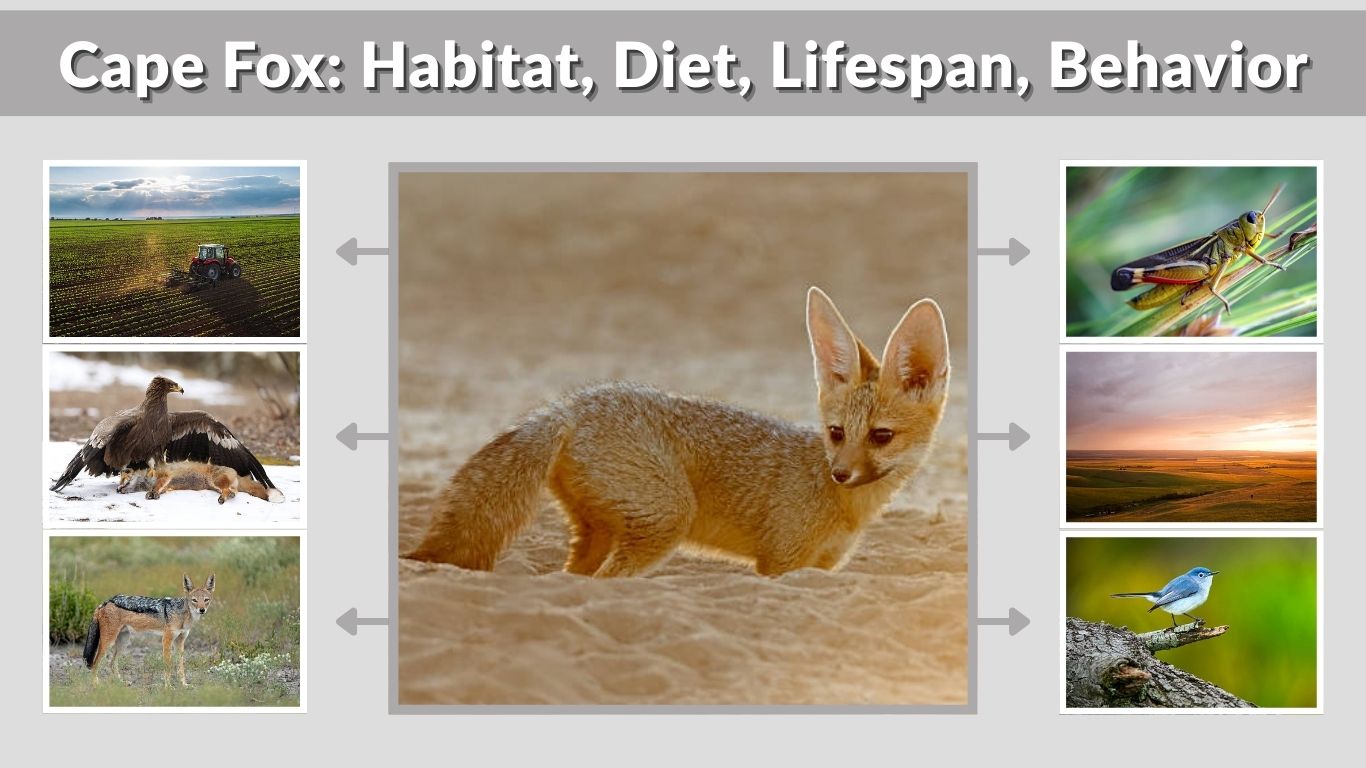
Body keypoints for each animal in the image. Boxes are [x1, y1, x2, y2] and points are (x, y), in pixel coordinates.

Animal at [82, 574, 216, 687]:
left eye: (206, 600)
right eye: (194, 600)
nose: (202, 610)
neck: (183, 615)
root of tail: (105, 602)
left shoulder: (180, 642)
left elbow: (181, 666)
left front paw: (184, 684)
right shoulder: (166, 640)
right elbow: (168, 666)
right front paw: (168, 687)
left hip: (123, 643)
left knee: (111, 663)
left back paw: (121, 683)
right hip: (108, 643)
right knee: (94, 664)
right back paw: (96, 685)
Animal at [117, 461, 285, 504]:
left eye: (125, 473)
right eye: (119, 476)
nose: (117, 489)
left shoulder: (165, 476)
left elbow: (156, 486)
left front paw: (152, 493)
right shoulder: (167, 485)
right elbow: (157, 489)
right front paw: (153, 494)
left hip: (216, 481)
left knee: (229, 491)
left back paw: (223, 498)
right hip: (216, 485)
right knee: (233, 492)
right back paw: (228, 496)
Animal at [405, 286, 950, 578]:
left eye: (880, 436)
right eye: (836, 432)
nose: (839, 473)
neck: (848, 509)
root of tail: (570, 405)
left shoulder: (819, 570)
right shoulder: (780, 564)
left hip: (600, 533)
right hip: (668, 519)